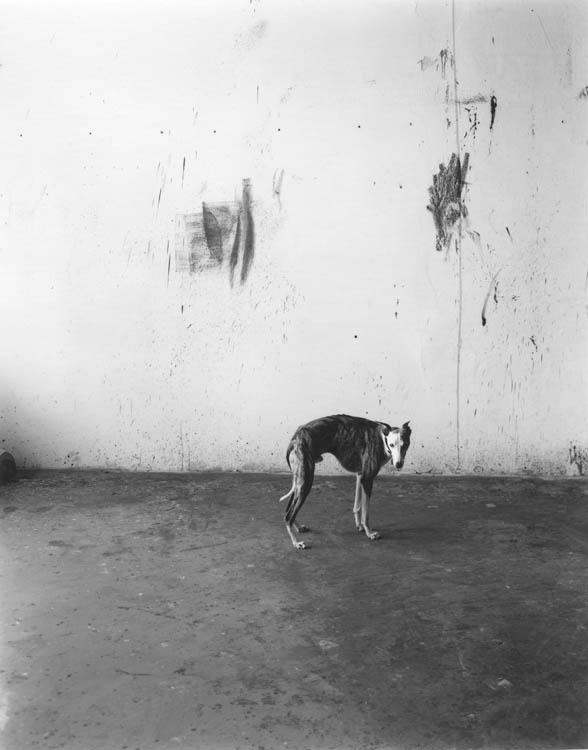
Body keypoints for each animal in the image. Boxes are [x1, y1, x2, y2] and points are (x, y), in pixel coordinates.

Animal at [279, 414, 411, 549]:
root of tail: (295, 438)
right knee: (288, 516)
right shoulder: (367, 479)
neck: (382, 439)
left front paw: (359, 525)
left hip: (299, 482)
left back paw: (298, 527)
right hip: (306, 482)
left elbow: (357, 506)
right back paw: (296, 542)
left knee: (289, 509)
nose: (398, 464)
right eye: (392, 445)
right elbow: (366, 513)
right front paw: (369, 533)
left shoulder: (360, 476)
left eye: (405, 444)